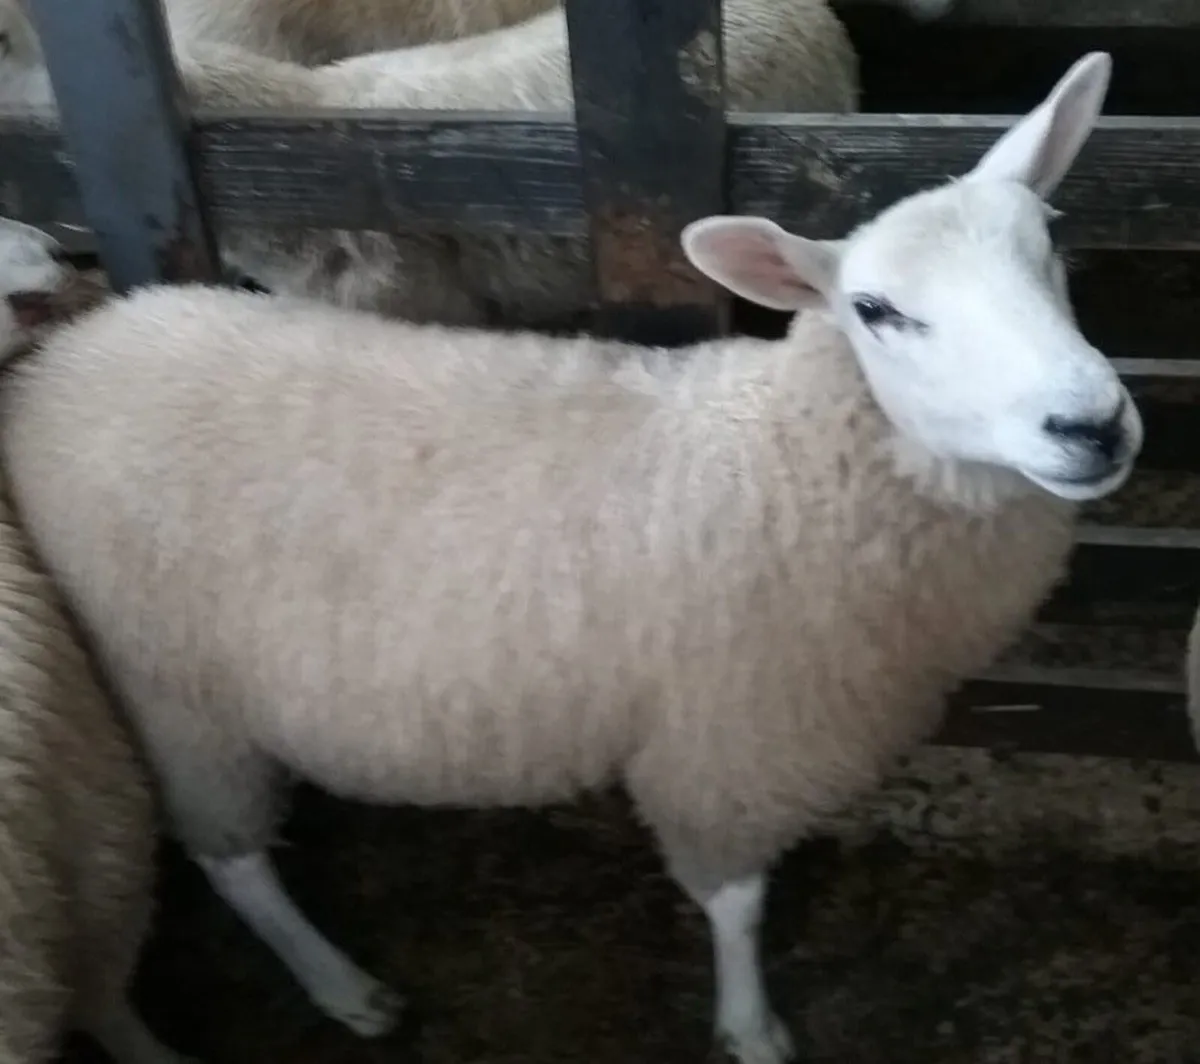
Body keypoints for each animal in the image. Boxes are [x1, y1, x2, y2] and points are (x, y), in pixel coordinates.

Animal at [0, 52, 1133, 1064]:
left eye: (1050, 249)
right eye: (877, 312)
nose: (1092, 424)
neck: (779, 456)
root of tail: (81, 347)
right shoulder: (725, 746)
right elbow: (735, 903)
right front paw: (750, 1027)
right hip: (168, 691)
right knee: (228, 858)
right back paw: (341, 986)